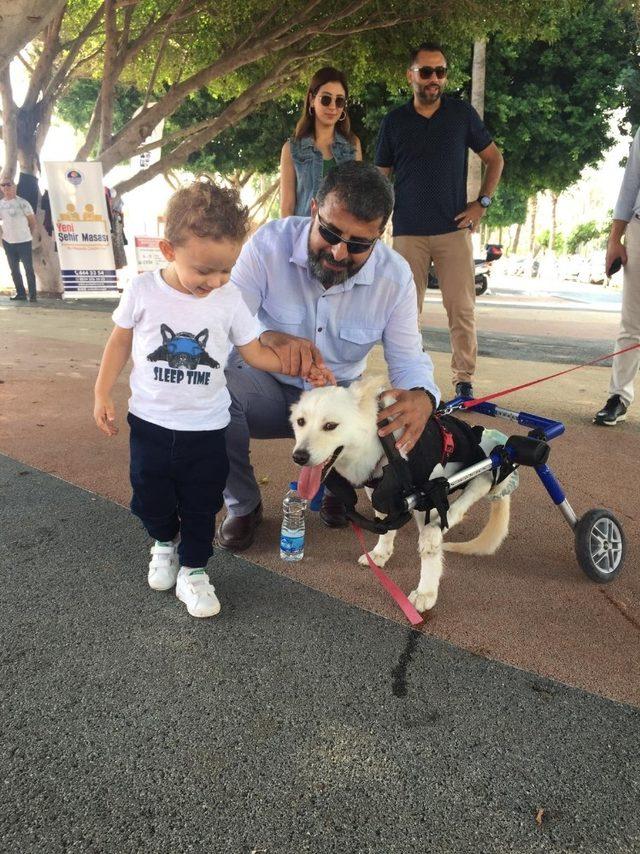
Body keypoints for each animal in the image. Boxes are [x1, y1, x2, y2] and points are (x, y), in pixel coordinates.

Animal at [292, 378, 520, 612]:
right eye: (301, 422)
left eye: (330, 426)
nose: (299, 457)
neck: (385, 444)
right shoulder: (381, 495)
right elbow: (386, 527)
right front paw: (381, 553)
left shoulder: (427, 499)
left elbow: (430, 553)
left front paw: (426, 593)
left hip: (480, 475)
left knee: (456, 510)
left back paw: (432, 537)